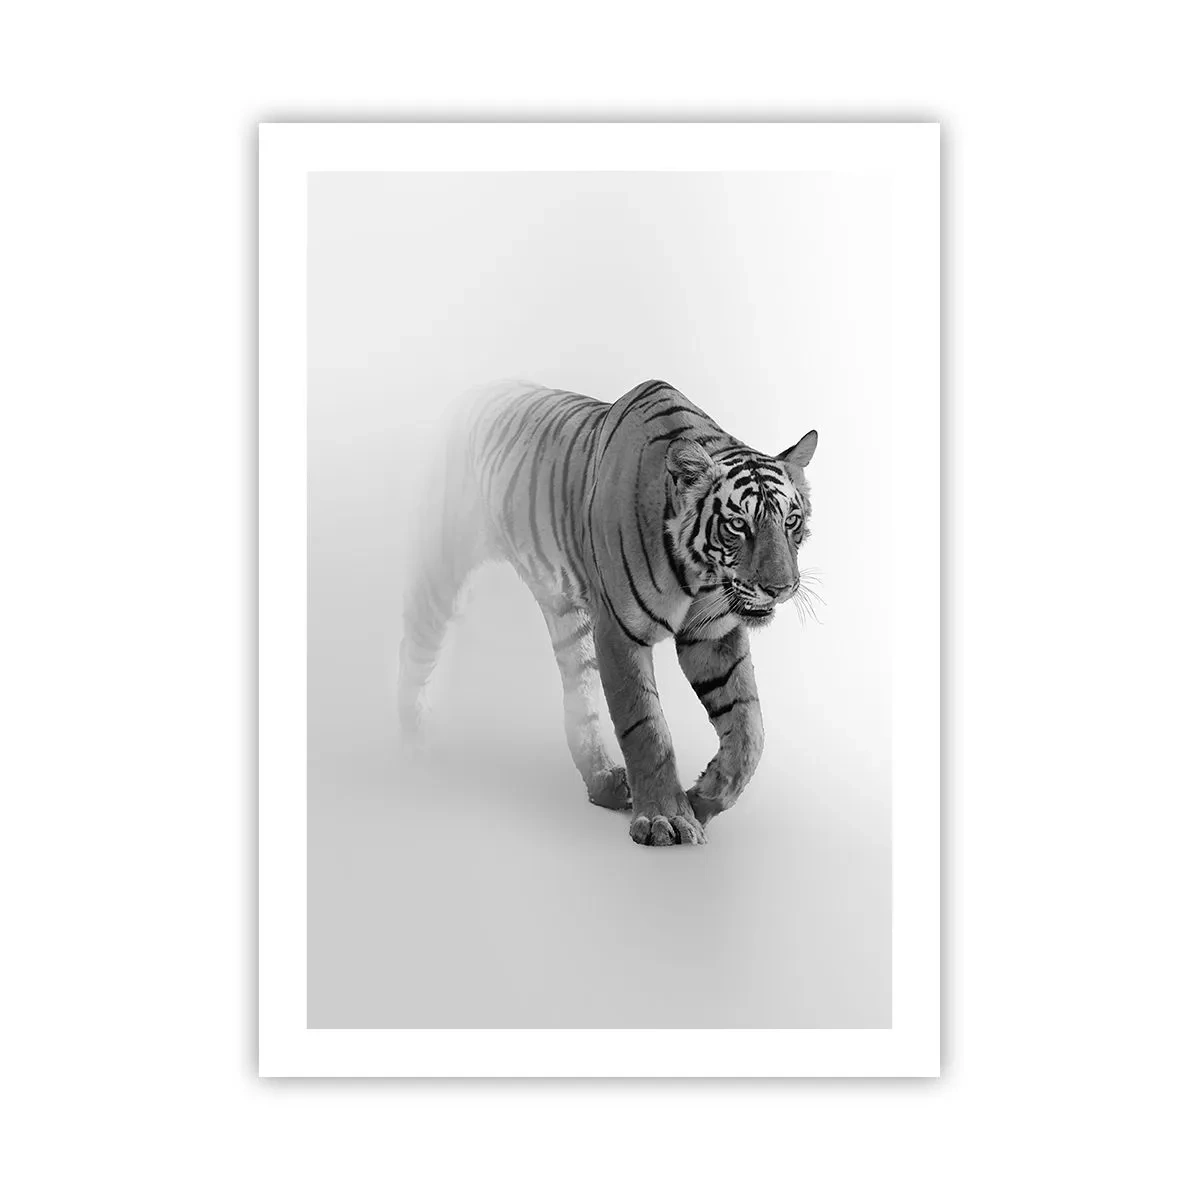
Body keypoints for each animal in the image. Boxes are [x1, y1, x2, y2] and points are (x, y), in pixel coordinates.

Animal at [397, 379, 818, 847]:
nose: (780, 588)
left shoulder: (712, 634)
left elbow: (749, 729)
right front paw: (666, 818)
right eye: (738, 525)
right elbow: (646, 727)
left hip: (567, 616)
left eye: (791, 521)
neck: (699, 574)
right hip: (443, 563)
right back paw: (410, 745)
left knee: (579, 698)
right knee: (415, 647)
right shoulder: (619, 631)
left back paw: (604, 782)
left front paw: (704, 798)